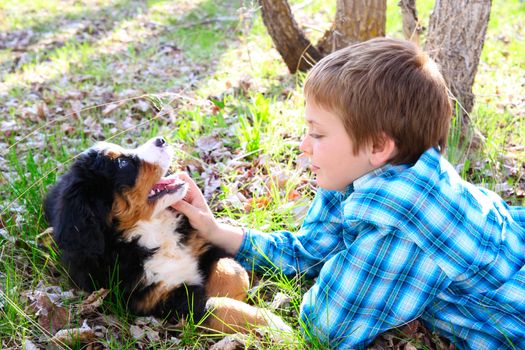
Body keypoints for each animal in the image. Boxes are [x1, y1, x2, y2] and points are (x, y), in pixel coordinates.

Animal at [44, 137, 288, 334]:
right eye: (123, 163)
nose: (160, 139)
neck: (152, 231)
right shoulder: (159, 298)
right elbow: (216, 307)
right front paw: (273, 325)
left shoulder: (199, 245)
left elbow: (231, 272)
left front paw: (231, 293)